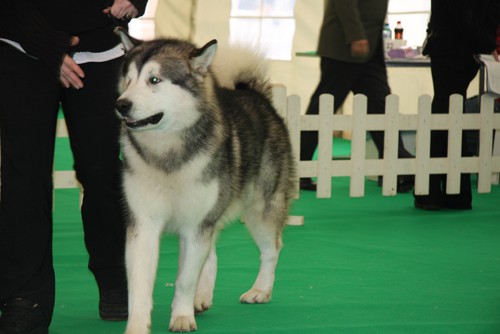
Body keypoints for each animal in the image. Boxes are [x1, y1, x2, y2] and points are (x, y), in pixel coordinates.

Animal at [116, 30, 296, 332]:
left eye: (155, 80)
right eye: (128, 80)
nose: (121, 105)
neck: (168, 155)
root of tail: (252, 93)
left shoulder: (196, 224)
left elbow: (185, 279)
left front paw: (181, 317)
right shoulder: (144, 223)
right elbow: (139, 286)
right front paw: (137, 326)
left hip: (260, 209)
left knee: (272, 249)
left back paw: (260, 290)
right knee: (210, 254)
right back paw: (201, 298)